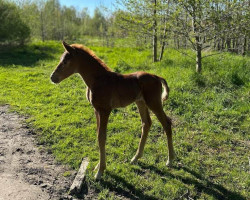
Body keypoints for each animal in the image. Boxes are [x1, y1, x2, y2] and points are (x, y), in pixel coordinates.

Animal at [50, 41, 176, 180]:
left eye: (65, 61)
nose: (52, 77)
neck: (98, 80)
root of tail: (157, 77)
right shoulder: (97, 110)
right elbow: (98, 135)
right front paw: (98, 167)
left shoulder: (105, 110)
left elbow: (102, 137)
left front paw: (100, 171)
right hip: (141, 102)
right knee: (146, 123)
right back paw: (135, 158)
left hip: (153, 102)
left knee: (166, 123)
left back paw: (170, 160)